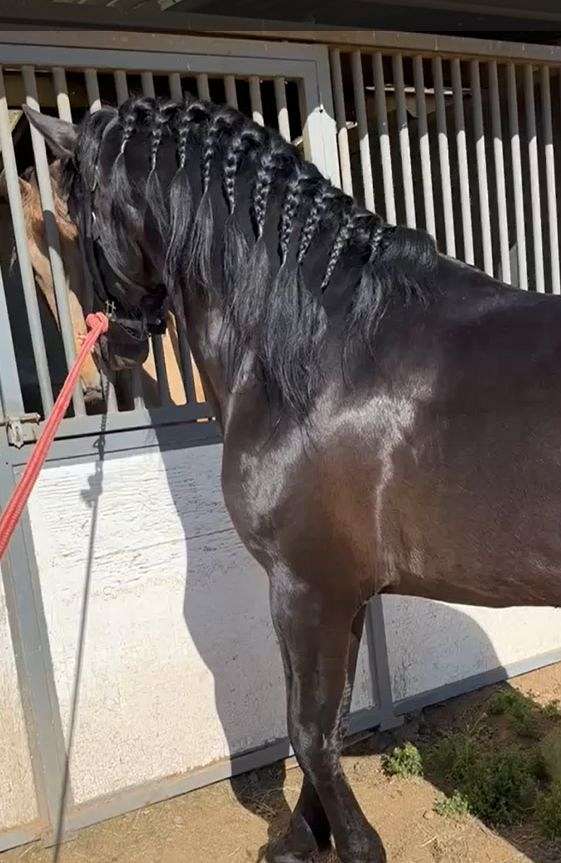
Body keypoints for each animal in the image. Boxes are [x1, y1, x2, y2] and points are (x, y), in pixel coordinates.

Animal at [25, 98, 561, 863]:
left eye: (76, 217)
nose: (109, 355)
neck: (322, 354)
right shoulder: (339, 591)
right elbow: (326, 725)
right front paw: (299, 839)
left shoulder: (305, 586)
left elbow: (307, 732)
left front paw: (354, 845)